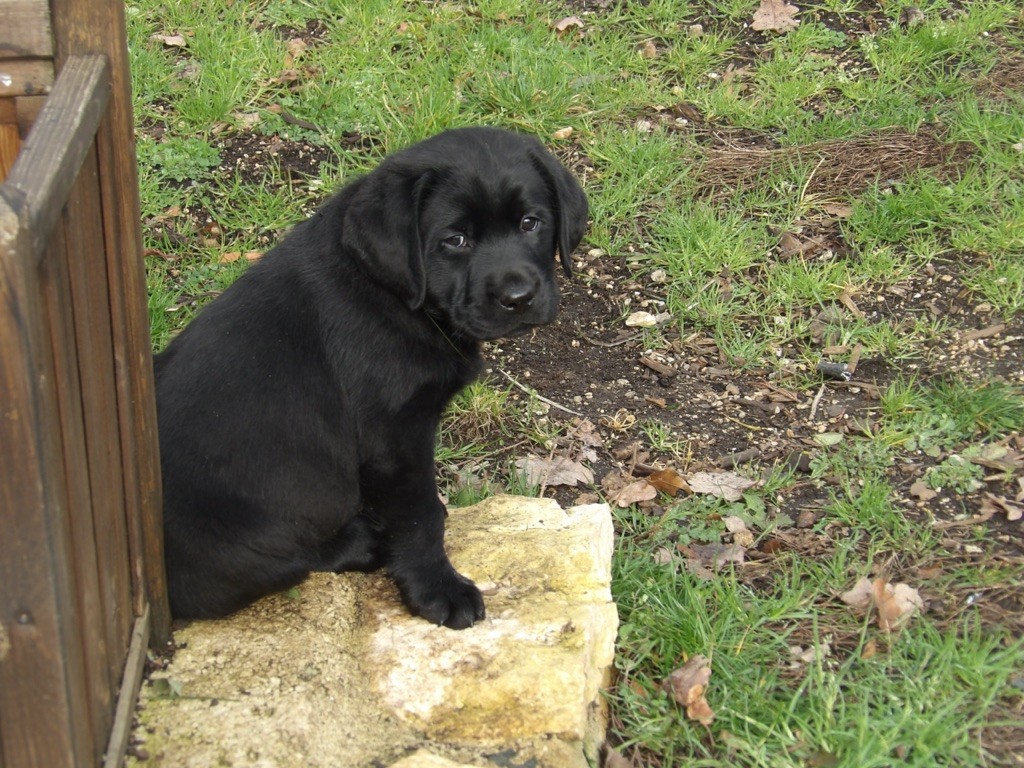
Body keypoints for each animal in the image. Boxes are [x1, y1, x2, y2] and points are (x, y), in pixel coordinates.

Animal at [154, 128, 589, 630]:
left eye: (530, 223)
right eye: (455, 239)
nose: (518, 297)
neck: (397, 298)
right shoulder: (393, 439)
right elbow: (420, 516)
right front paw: (438, 590)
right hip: (251, 536)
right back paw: (361, 541)